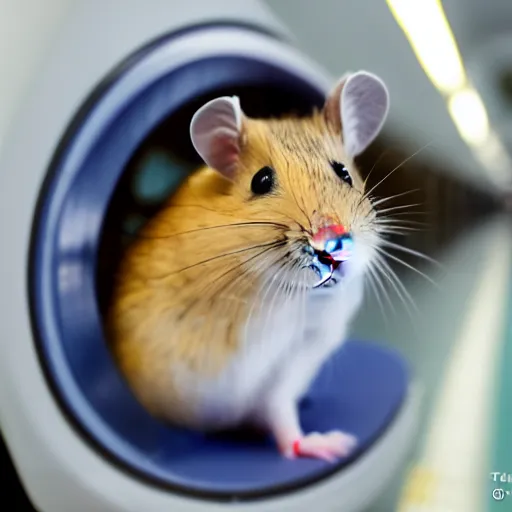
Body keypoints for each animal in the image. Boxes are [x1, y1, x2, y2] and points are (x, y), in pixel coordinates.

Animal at [106, 71, 390, 460]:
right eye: (261, 180)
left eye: (344, 173)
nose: (334, 244)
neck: (287, 295)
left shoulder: (295, 358)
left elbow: (280, 412)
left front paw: (334, 445)